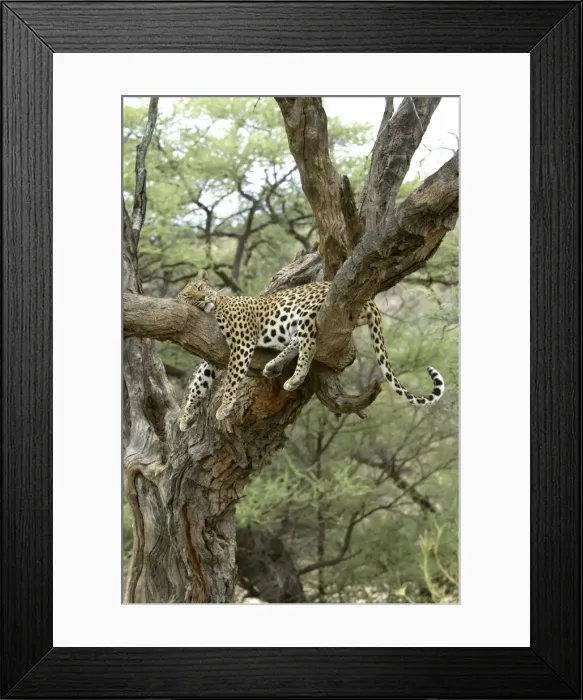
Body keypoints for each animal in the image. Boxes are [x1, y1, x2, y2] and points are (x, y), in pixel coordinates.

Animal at [177, 270, 444, 429]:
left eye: (200, 288)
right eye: (187, 296)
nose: (200, 300)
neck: (215, 307)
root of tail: (369, 300)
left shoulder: (242, 343)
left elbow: (232, 379)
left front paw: (224, 408)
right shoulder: (212, 355)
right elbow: (199, 383)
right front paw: (185, 415)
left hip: (305, 311)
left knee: (309, 344)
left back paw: (294, 379)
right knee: (298, 341)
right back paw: (273, 366)